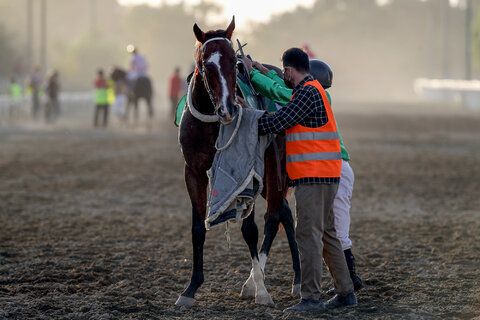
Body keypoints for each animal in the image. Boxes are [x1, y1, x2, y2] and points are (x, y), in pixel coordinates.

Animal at [176, 17, 300, 308]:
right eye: (206, 63)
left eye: (233, 60)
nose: (228, 109)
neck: (210, 123)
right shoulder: (193, 172)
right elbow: (197, 228)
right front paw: (190, 289)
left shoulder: (247, 172)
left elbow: (250, 229)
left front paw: (261, 289)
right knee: (285, 214)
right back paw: (294, 280)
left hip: (274, 168)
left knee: (273, 217)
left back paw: (263, 282)